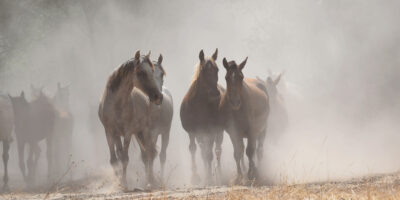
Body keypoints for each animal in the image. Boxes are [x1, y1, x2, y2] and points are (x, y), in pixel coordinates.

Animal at [98, 50, 162, 188]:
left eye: (152, 71)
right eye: (141, 72)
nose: (158, 97)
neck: (116, 104)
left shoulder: (127, 132)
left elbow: (124, 158)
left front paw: (124, 183)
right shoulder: (110, 131)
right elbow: (114, 159)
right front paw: (118, 182)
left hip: (144, 130)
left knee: (149, 153)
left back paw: (151, 181)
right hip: (136, 133)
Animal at [180, 48, 225, 184]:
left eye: (217, 69)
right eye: (204, 70)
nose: (215, 93)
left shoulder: (211, 130)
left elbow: (209, 154)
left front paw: (209, 178)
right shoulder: (192, 132)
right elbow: (194, 149)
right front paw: (195, 176)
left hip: (218, 132)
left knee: (217, 150)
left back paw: (219, 174)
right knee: (203, 151)